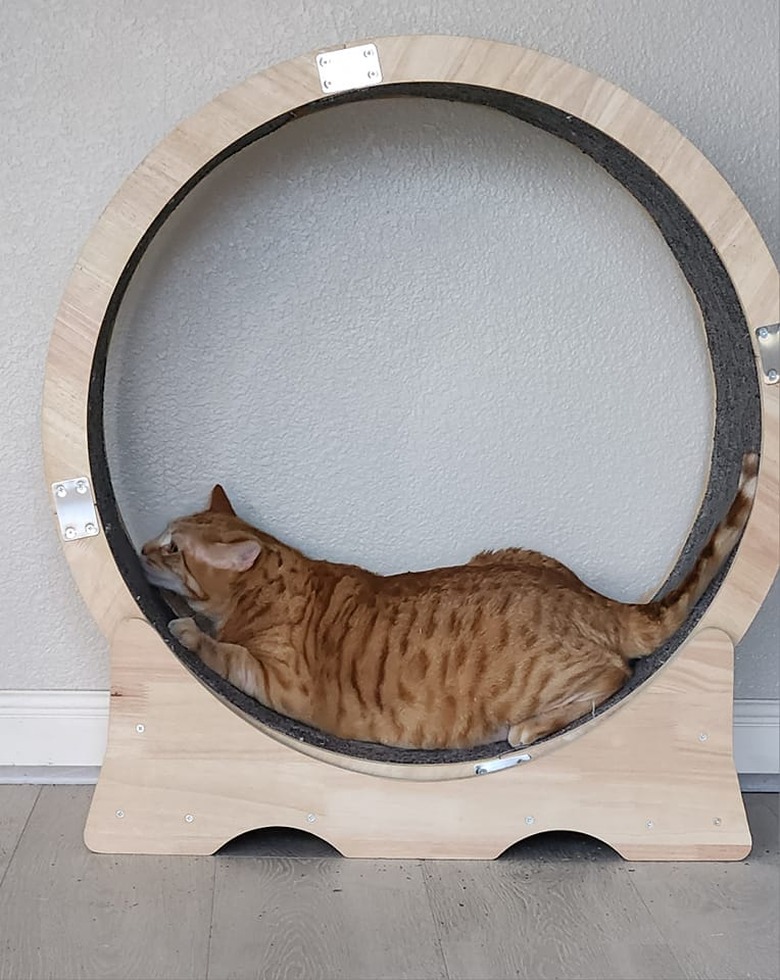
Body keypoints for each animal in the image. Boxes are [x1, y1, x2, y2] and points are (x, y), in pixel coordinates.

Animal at [140, 454, 756, 752]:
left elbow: (224, 651)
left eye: (172, 548)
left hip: (548, 677)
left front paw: (188, 629)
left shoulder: (279, 682)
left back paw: (530, 728)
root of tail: (594, 600)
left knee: (613, 675)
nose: (142, 548)